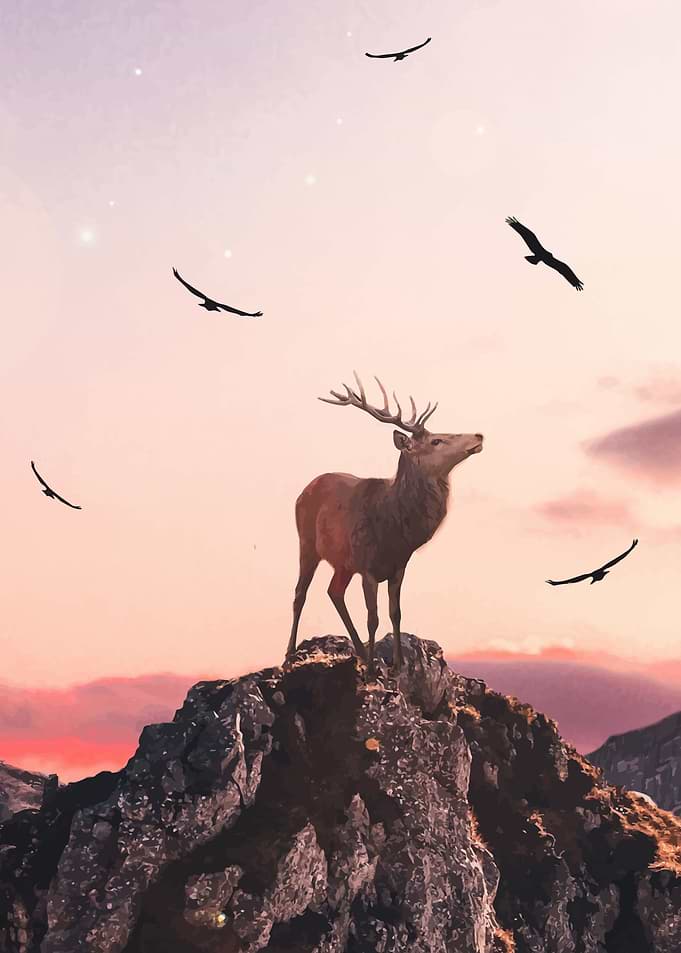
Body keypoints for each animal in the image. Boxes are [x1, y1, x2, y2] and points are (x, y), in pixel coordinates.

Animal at [286, 372, 483, 678]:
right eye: (436, 441)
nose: (479, 435)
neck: (395, 529)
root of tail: (304, 489)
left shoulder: (398, 566)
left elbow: (395, 612)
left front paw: (398, 665)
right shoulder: (367, 566)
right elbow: (373, 617)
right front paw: (370, 671)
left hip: (343, 562)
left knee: (333, 591)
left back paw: (359, 651)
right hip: (307, 543)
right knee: (300, 593)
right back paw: (289, 655)